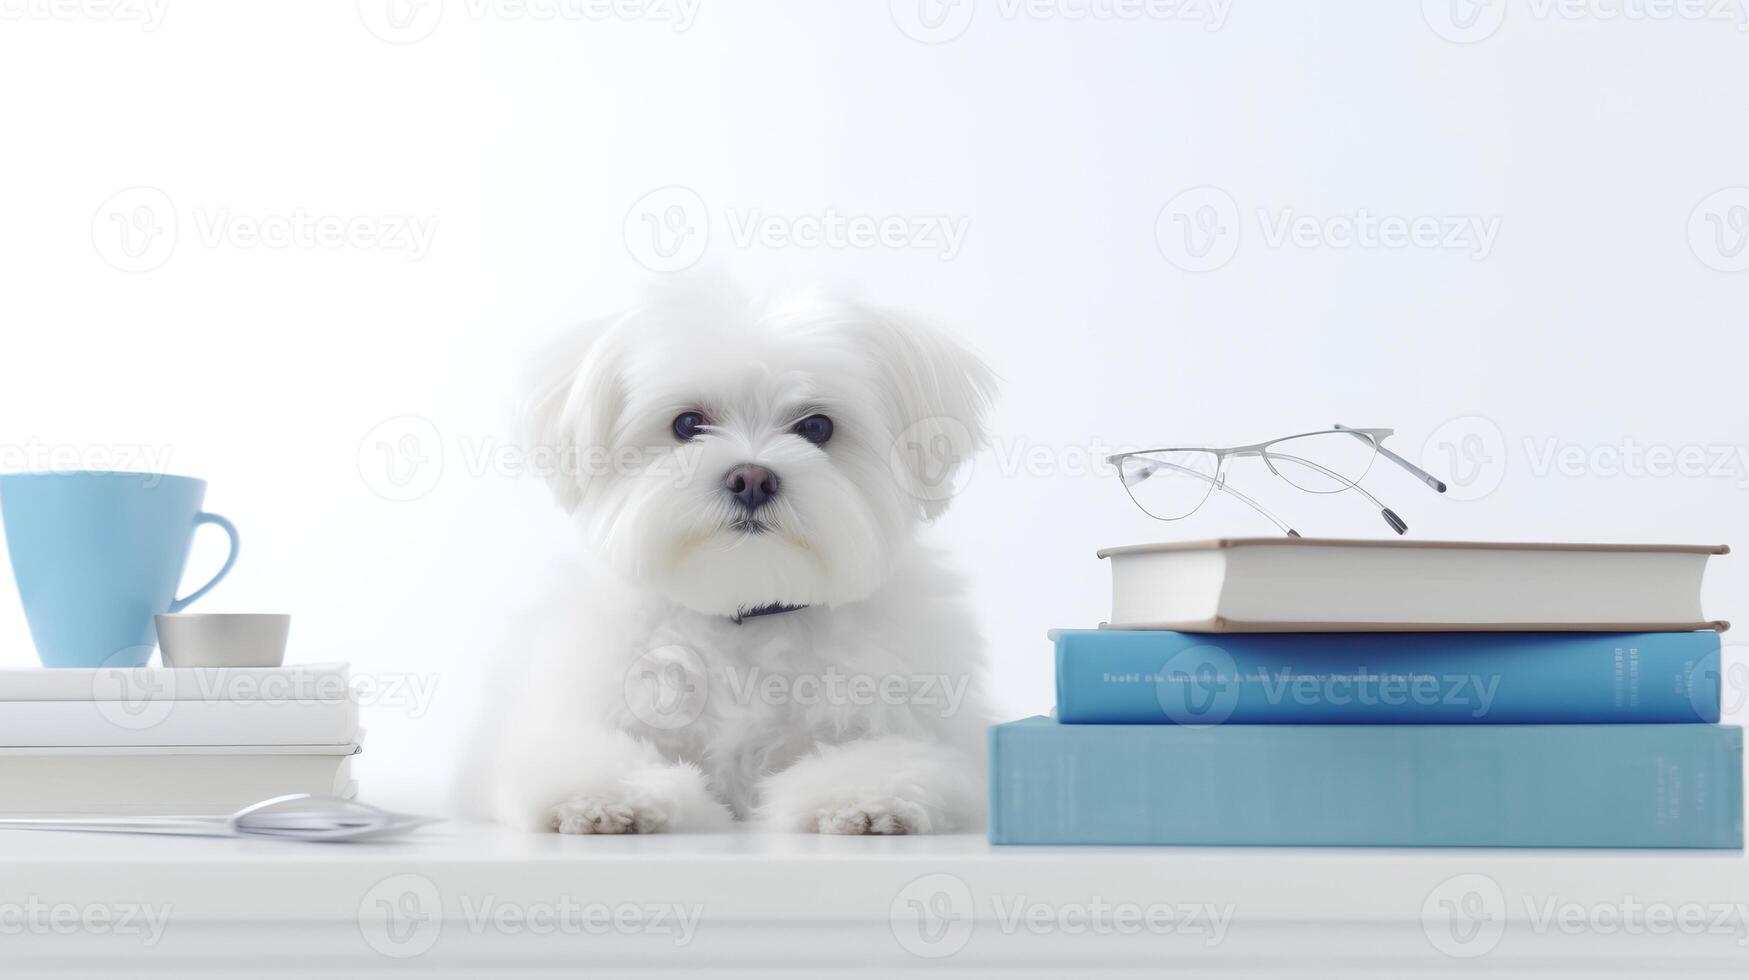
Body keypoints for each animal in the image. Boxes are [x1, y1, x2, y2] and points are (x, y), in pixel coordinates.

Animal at [461, 278, 1000, 833]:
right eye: (688, 423)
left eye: (816, 427)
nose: (752, 478)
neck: (747, 609)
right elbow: (585, 756)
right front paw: (607, 798)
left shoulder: (918, 731)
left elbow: (886, 758)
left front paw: (863, 799)